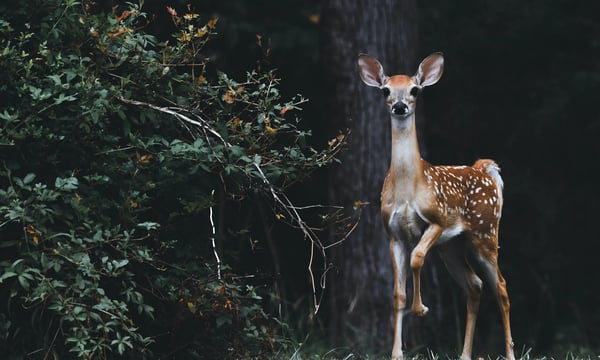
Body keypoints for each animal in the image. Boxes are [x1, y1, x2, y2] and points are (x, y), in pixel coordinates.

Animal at [356, 52, 516, 360]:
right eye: (386, 91)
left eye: (415, 90)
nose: (400, 106)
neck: (409, 189)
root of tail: (485, 170)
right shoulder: (393, 234)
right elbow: (398, 293)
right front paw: (396, 353)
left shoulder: (437, 220)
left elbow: (417, 258)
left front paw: (421, 309)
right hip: (451, 246)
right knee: (475, 285)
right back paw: (464, 354)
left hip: (485, 232)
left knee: (501, 286)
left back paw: (510, 353)